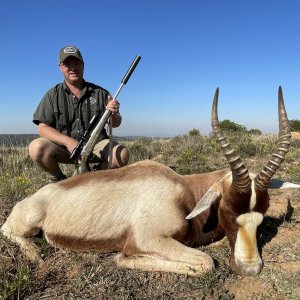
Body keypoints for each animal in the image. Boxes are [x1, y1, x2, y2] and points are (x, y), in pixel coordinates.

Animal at [1, 86, 298, 276]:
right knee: (9, 231)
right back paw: (35, 254)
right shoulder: (147, 239)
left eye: (262, 214)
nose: (251, 268)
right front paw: (122, 258)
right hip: (28, 223)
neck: (183, 191)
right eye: (228, 209)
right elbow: (205, 263)